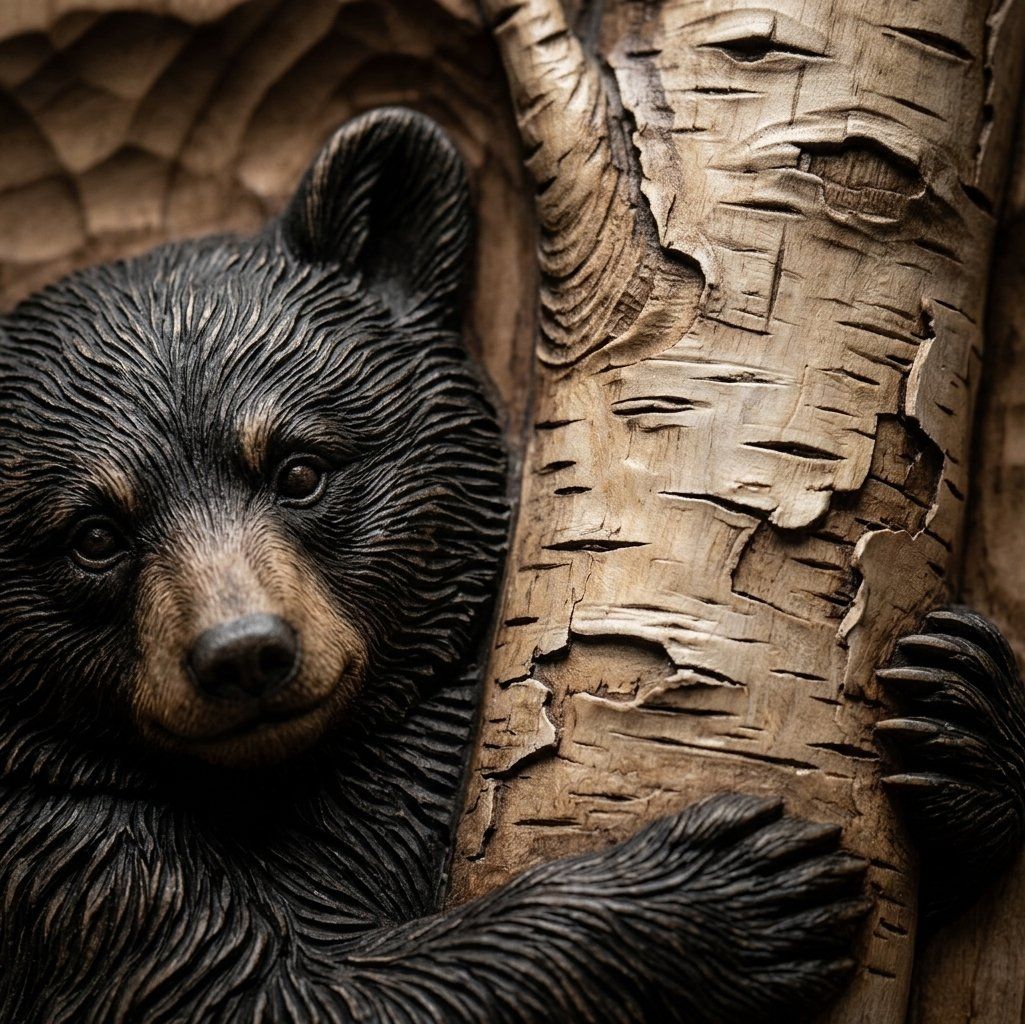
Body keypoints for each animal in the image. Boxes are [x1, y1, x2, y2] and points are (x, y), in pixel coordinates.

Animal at [0, 104, 1004, 1023]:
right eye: (92, 532)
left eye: (299, 468)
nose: (244, 653)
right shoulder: (65, 866)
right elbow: (273, 994)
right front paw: (731, 892)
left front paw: (958, 707)